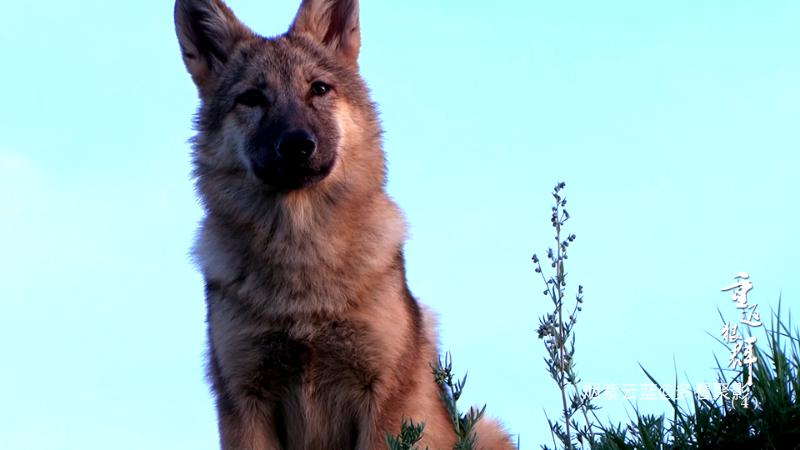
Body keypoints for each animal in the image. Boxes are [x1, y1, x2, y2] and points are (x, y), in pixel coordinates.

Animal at [174, 1, 514, 449]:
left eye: (319, 89)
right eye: (251, 98)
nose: (297, 145)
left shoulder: (382, 398)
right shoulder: (245, 400)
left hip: (485, 429)